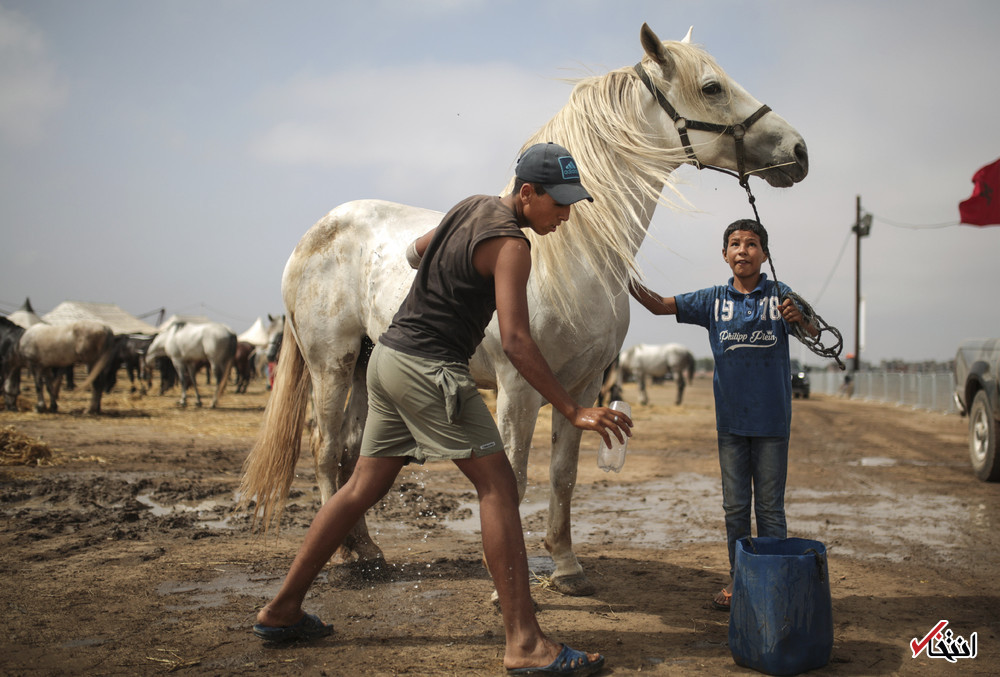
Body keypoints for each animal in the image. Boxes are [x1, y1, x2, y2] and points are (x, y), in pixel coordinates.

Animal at [242, 23, 812, 596]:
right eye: (713, 88)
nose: (799, 149)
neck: (575, 255)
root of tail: (314, 234)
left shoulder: (581, 386)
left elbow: (563, 474)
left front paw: (566, 565)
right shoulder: (516, 389)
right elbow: (513, 479)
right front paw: (507, 582)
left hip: (364, 367)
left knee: (350, 451)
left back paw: (367, 552)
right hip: (331, 365)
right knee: (325, 448)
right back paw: (343, 559)